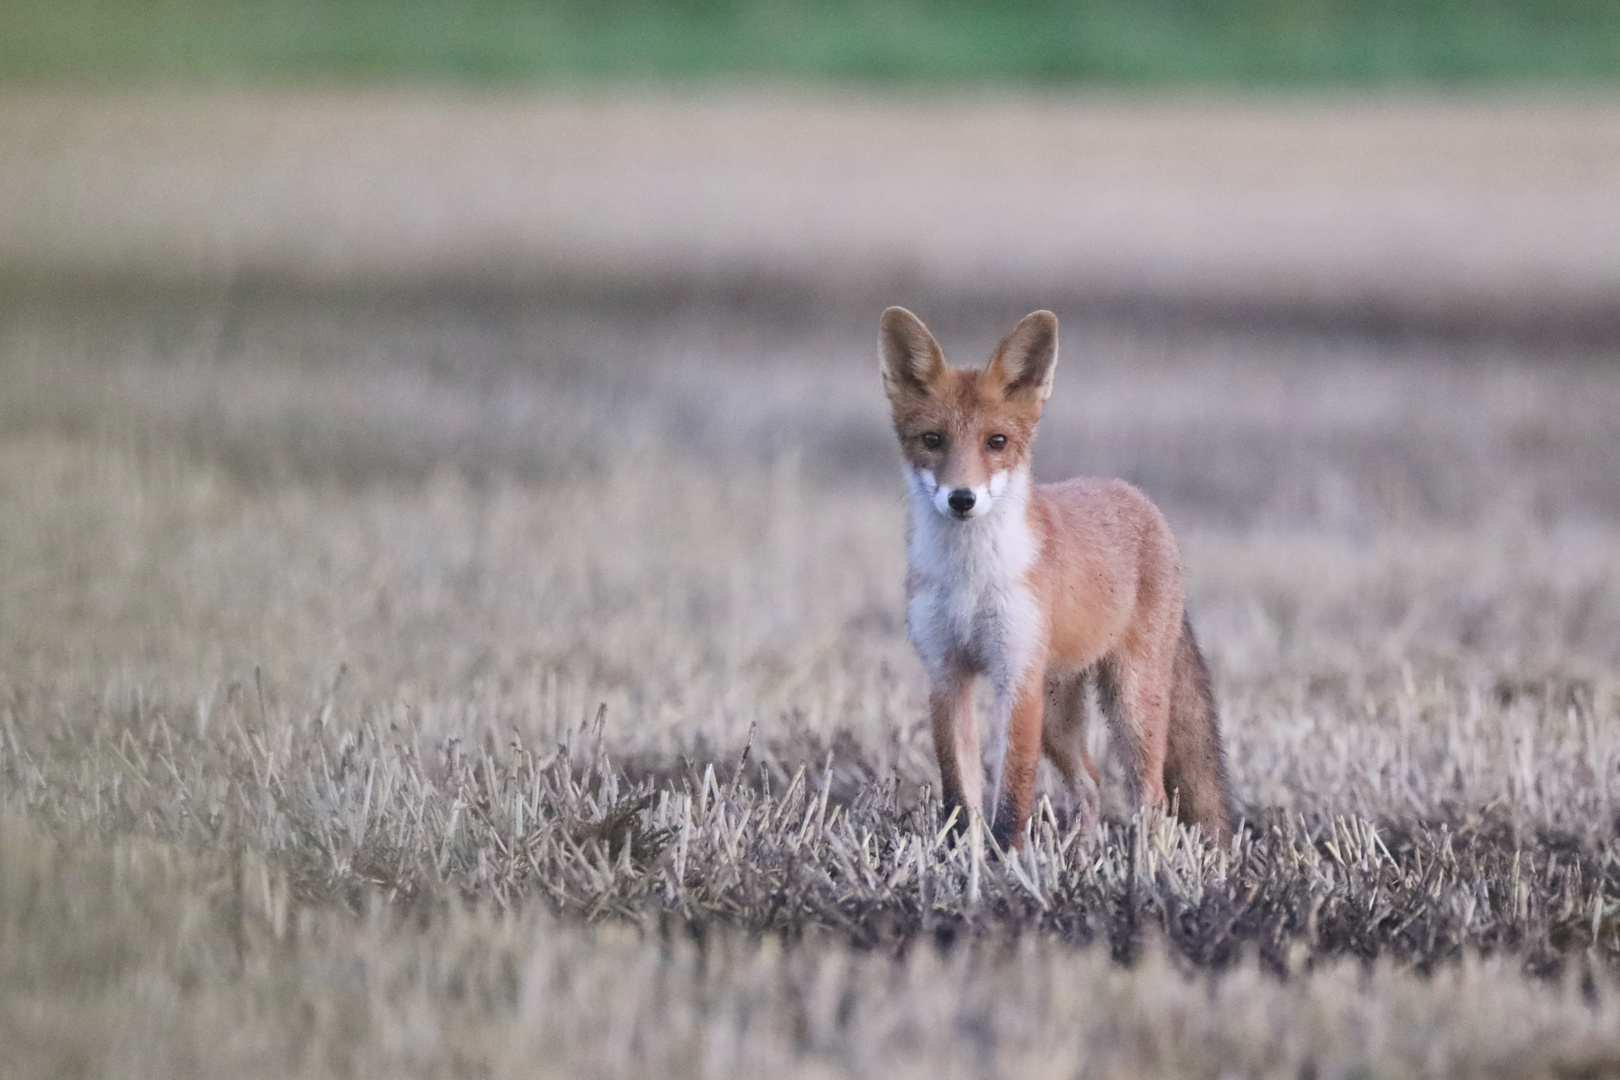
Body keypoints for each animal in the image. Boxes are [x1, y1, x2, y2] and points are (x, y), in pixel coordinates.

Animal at [887, 306, 1224, 854]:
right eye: (932, 441)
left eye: (996, 442)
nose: (962, 499)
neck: (971, 578)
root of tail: (1138, 498)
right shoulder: (946, 674)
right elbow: (960, 794)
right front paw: (963, 857)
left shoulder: (1015, 674)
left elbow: (1013, 794)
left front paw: (1008, 861)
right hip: (1057, 716)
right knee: (1089, 783)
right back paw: (1083, 857)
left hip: (1130, 704)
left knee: (1151, 797)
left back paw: (1145, 864)